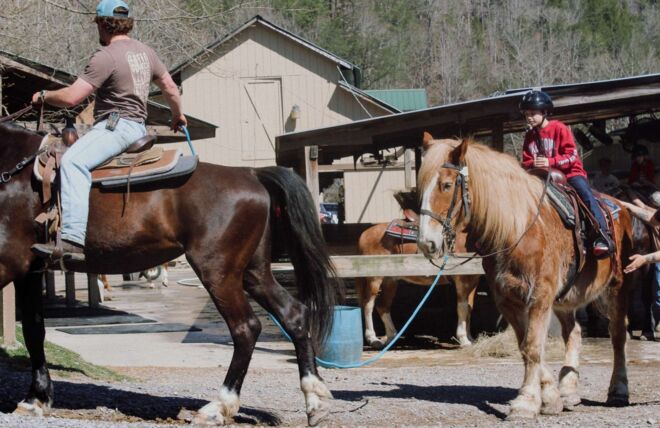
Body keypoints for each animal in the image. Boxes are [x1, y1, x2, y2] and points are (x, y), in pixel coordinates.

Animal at [0, 122, 340, 426]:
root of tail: (250, 174)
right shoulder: (29, 270)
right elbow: (34, 331)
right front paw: (36, 399)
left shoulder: (9, 262)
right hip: (253, 272)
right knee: (293, 314)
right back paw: (315, 400)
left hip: (218, 272)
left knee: (246, 328)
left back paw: (218, 407)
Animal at [418, 135, 640, 420]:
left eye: (446, 185)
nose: (426, 242)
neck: (517, 229)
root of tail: (620, 206)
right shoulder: (508, 300)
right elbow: (526, 346)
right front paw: (550, 398)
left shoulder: (540, 297)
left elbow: (533, 346)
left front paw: (525, 403)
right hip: (565, 298)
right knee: (574, 333)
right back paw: (569, 390)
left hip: (616, 287)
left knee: (618, 335)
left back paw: (619, 390)